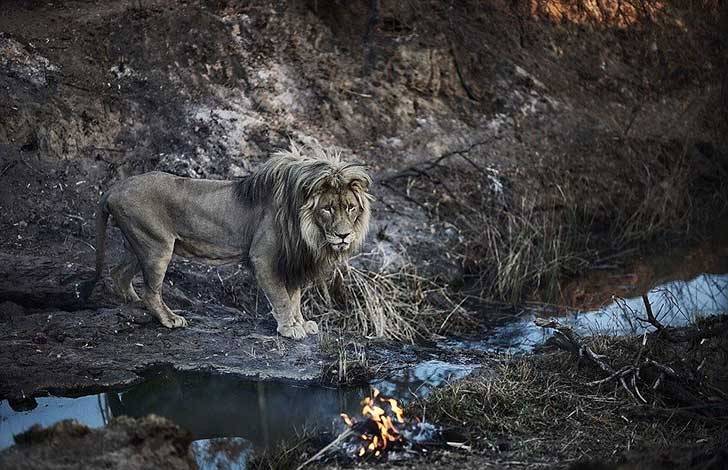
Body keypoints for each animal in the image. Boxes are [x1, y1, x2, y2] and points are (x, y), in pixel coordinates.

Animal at [90, 141, 372, 340]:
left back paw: (133, 302)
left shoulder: (291, 259)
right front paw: (289, 328)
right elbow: (282, 297)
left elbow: (295, 297)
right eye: (327, 209)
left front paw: (301, 323)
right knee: (151, 291)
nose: (344, 235)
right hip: (156, 247)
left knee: (118, 274)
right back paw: (169, 319)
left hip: (138, 244)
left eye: (350, 208)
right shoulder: (264, 257)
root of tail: (114, 188)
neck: (307, 228)